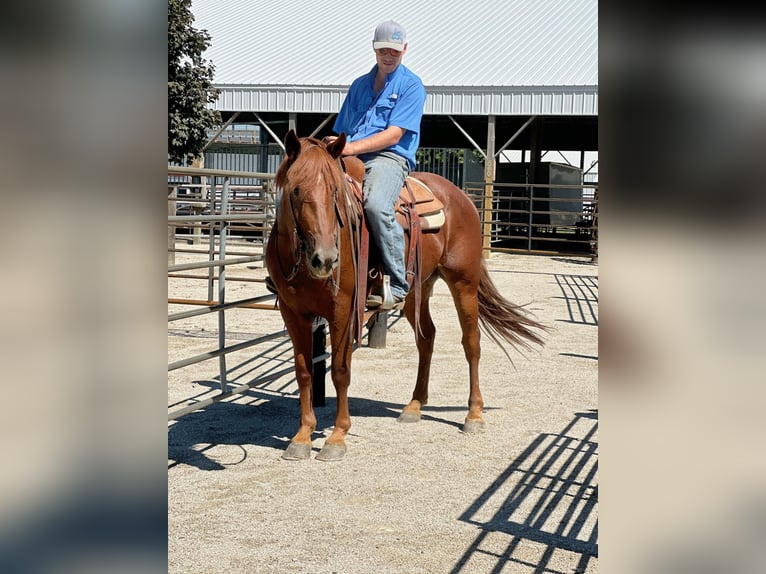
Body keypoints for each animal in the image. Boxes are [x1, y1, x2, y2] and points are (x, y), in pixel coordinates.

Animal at [265, 130, 546, 461]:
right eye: (296, 190)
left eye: (335, 191)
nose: (325, 259)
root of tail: (460, 196)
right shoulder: (292, 312)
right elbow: (304, 372)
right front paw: (302, 436)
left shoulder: (343, 309)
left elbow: (340, 371)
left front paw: (337, 437)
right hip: (417, 290)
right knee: (427, 338)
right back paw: (414, 405)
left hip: (463, 282)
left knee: (471, 343)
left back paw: (474, 414)